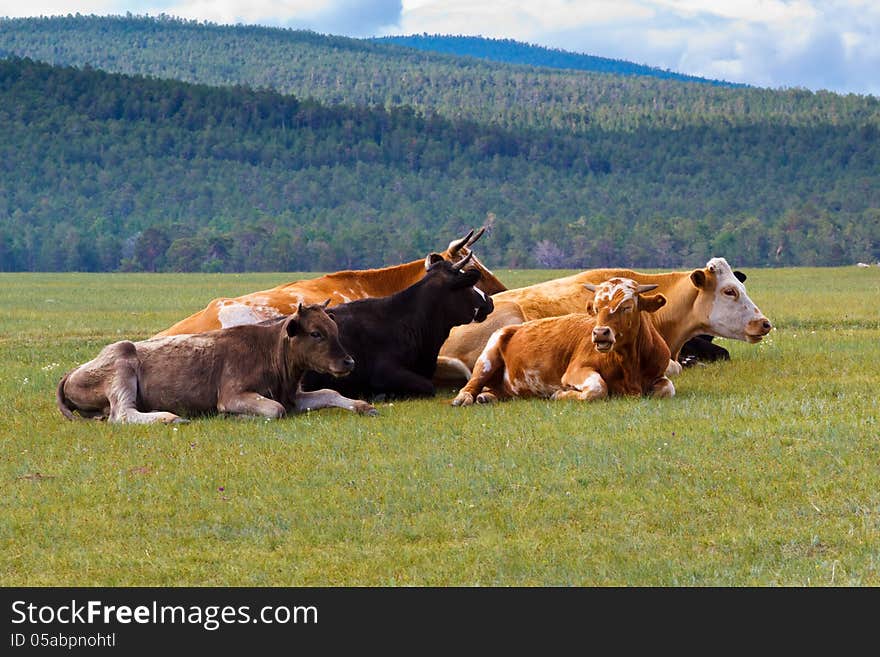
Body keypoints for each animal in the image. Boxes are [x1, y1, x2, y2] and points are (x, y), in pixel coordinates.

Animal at [57, 300, 374, 422]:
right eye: (316, 333)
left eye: (335, 329)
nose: (348, 362)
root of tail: (73, 371)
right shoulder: (233, 394)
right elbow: (275, 409)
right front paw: (234, 416)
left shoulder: (293, 395)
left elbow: (328, 392)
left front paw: (362, 405)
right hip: (122, 366)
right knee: (122, 413)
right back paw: (169, 417)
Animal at [454, 276, 672, 404]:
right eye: (596, 308)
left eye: (627, 307)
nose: (600, 333)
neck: (629, 363)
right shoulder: (575, 372)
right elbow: (598, 388)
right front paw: (560, 394)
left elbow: (667, 388)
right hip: (487, 358)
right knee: (471, 384)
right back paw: (464, 398)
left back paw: (487, 396)